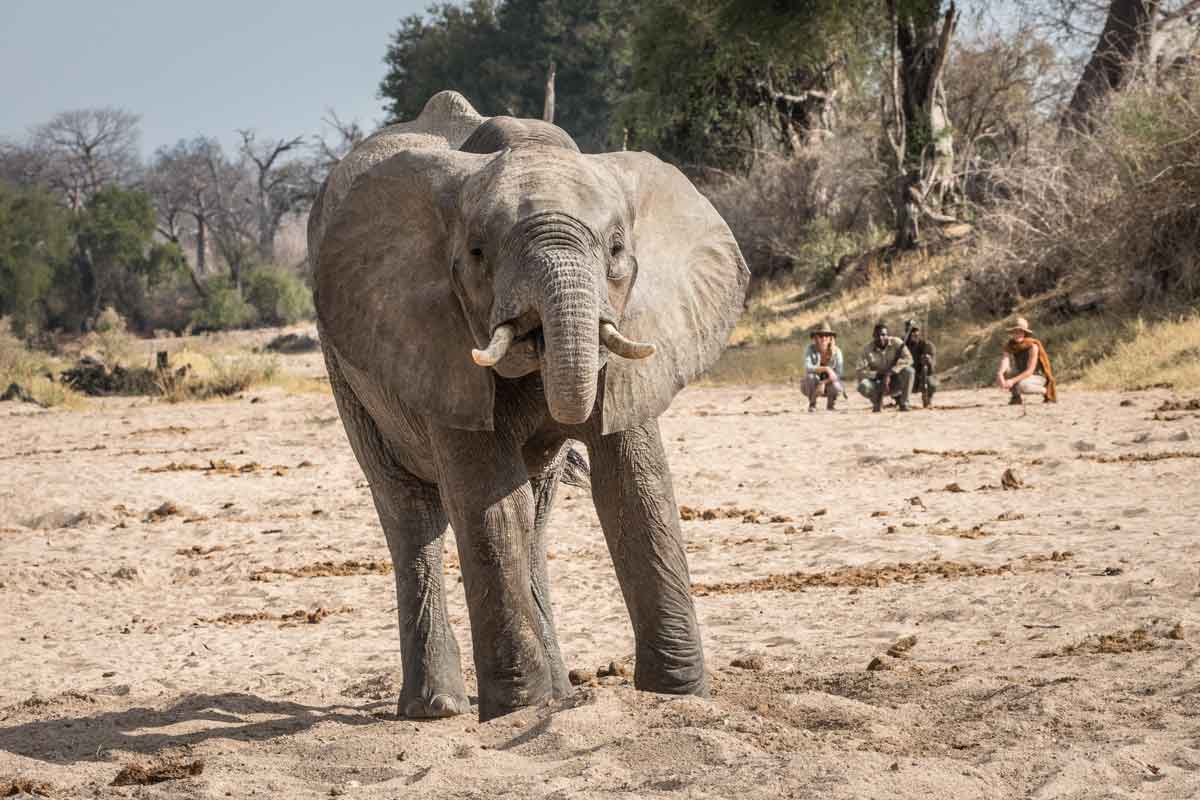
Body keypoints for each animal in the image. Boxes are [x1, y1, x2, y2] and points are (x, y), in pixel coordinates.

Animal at [304, 90, 744, 724]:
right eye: (477, 253)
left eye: (617, 250)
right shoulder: (436, 343)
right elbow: (489, 501)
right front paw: (516, 713)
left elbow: (634, 484)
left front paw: (677, 698)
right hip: (345, 367)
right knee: (413, 514)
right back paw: (439, 710)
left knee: (534, 513)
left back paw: (558, 696)